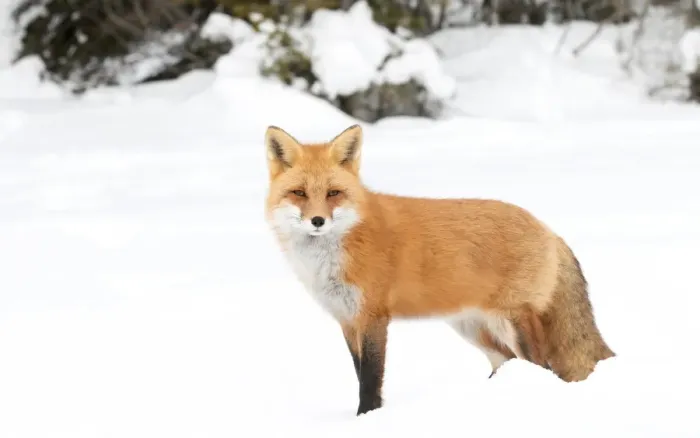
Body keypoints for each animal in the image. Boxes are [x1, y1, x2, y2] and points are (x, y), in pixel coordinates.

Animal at [264, 124, 615, 416]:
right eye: (299, 193)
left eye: (333, 193)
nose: (317, 221)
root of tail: (547, 227)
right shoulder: (347, 320)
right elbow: (358, 372)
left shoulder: (373, 317)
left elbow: (370, 380)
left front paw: (367, 419)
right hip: (474, 328)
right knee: (509, 363)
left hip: (511, 322)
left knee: (543, 366)